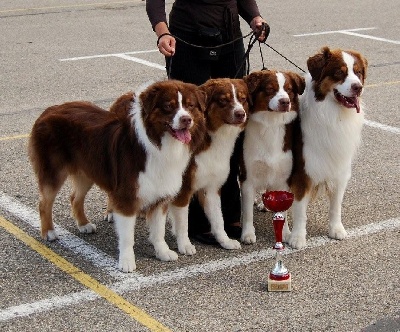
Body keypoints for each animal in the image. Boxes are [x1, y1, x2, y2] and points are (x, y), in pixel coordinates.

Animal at [28, 80, 206, 272]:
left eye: (190, 105)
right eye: (168, 106)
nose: (186, 119)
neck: (157, 144)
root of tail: (49, 110)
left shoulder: (160, 194)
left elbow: (159, 231)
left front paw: (162, 252)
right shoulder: (126, 195)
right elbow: (127, 236)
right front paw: (127, 262)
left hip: (87, 170)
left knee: (75, 197)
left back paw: (83, 224)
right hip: (54, 171)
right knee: (44, 203)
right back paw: (49, 232)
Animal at [164, 78, 248, 253]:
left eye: (242, 99)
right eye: (223, 100)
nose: (241, 114)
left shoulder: (211, 187)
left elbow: (218, 219)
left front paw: (225, 241)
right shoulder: (183, 188)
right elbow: (183, 221)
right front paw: (185, 245)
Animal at [239, 69, 304, 244]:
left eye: (288, 89)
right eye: (270, 89)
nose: (285, 102)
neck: (271, 123)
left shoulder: (283, 176)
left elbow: (284, 210)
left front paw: (286, 233)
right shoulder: (248, 175)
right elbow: (247, 211)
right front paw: (248, 234)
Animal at [288, 46, 368, 249]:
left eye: (358, 72)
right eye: (339, 73)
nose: (358, 87)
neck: (334, 114)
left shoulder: (340, 168)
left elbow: (336, 206)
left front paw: (336, 229)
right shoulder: (302, 171)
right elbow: (300, 210)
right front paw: (297, 237)